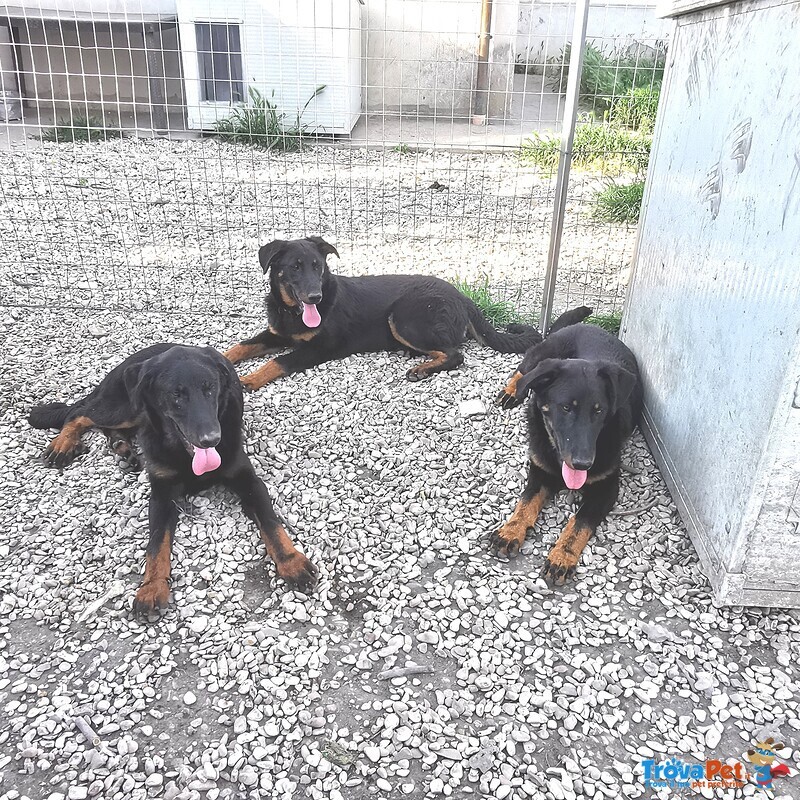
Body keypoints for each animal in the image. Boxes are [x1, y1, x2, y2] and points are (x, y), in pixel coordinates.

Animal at [31, 344, 318, 612]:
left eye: (210, 389)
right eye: (176, 395)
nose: (212, 439)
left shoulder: (248, 480)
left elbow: (270, 523)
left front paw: (291, 561)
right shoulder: (161, 494)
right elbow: (157, 543)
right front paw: (152, 587)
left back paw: (122, 448)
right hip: (126, 408)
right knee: (79, 413)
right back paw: (63, 444)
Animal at [222, 234, 540, 390]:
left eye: (318, 266)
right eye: (295, 267)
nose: (316, 296)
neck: (291, 313)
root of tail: (461, 296)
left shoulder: (318, 349)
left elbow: (276, 362)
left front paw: (248, 379)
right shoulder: (276, 334)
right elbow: (239, 347)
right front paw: (221, 359)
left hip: (404, 318)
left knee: (455, 353)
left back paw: (422, 369)